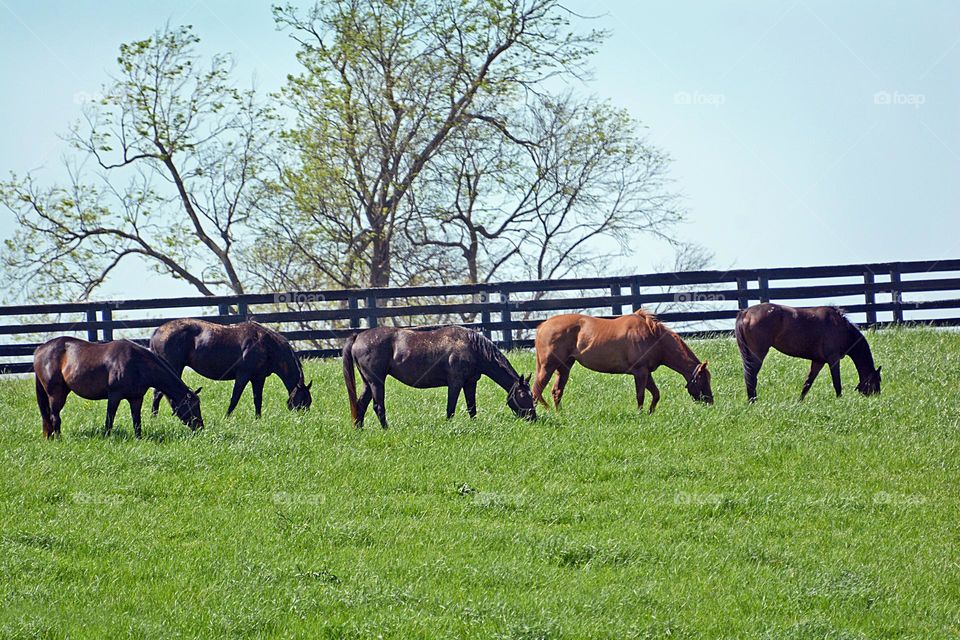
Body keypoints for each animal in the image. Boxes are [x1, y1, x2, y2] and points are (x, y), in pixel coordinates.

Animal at [150, 318, 314, 418]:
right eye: (302, 402)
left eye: (309, 402)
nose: (302, 419)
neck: (266, 344)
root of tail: (158, 331)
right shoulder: (243, 376)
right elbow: (235, 398)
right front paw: (226, 417)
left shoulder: (258, 378)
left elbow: (258, 400)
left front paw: (258, 419)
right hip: (173, 367)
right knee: (158, 393)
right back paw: (154, 418)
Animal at [342, 328, 536, 428]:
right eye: (523, 395)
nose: (533, 418)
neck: (472, 347)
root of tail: (358, 336)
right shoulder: (455, 383)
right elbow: (451, 408)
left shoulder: (470, 383)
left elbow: (472, 408)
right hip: (377, 382)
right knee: (378, 406)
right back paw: (386, 429)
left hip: (368, 383)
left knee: (361, 404)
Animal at [532, 310, 712, 416]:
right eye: (703, 379)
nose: (710, 401)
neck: (654, 337)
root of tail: (543, 326)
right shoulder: (640, 372)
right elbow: (640, 395)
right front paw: (640, 415)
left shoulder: (647, 373)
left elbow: (656, 394)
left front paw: (650, 413)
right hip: (548, 366)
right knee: (536, 391)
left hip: (564, 367)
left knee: (556, 391)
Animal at [736, 304, 884, 400]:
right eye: (877, 381)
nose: (876, 399)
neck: (842, 328)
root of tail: (746, 312)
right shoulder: (833, 359)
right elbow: (837, 382)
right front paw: (840, 400)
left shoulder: (818, 361)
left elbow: (807, 383)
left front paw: (799, 402)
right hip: (757, 354)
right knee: (751, 377)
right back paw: (753, 401)